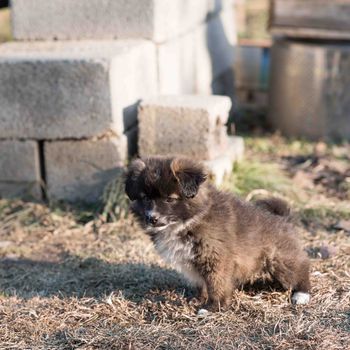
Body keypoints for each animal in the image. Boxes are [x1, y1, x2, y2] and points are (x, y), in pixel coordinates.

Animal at [124, 157, 310, 312]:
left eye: (169, 199)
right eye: (145, 198)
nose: (151, 218)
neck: (188, 221)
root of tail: (283, 218)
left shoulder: (216, 259)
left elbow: (216, 284)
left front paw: (213, 307)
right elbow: (203, 283)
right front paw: (199, 299)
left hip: (280, 260)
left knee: (299, 271)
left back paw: (302, 294)